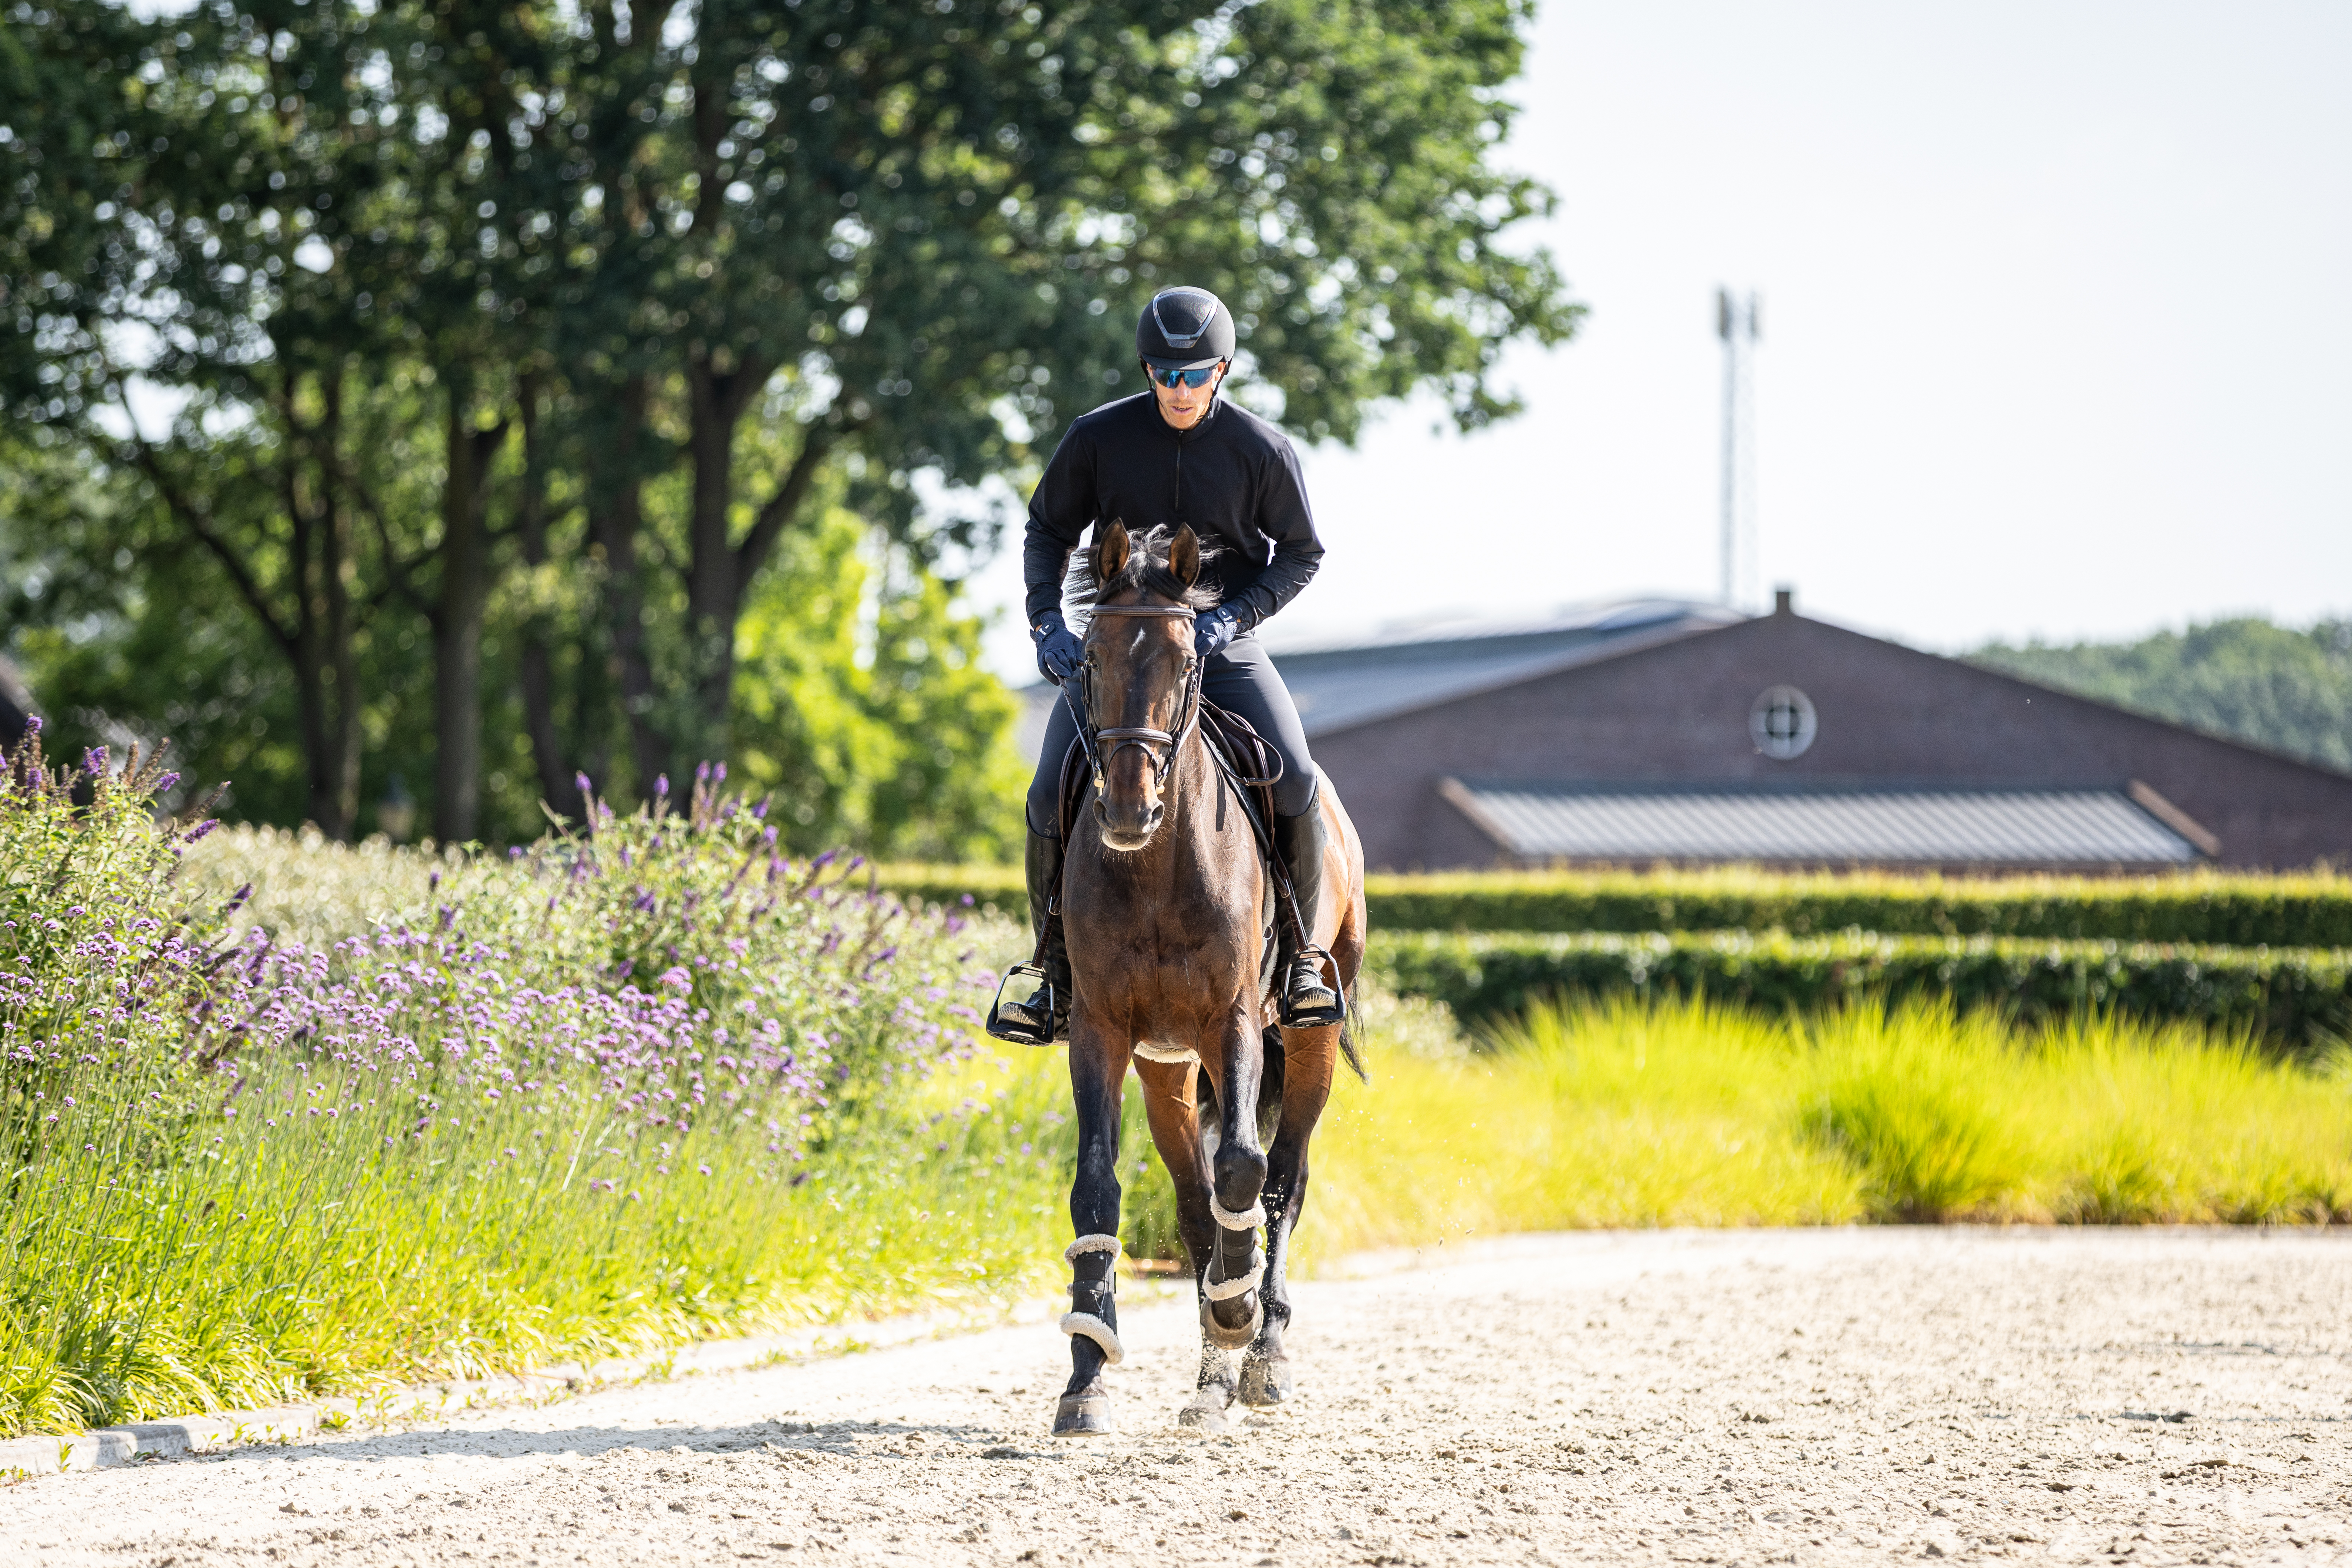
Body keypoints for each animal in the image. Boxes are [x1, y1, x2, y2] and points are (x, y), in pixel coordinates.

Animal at [1046, 519, 1368, 1437]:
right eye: (1087, 657)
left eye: (1188, 659)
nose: (1128, 809)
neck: (1156, 866)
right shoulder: (1101, 1030)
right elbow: (1100, 1185)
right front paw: (1087, 1374)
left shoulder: (1231, 1020)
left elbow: (1247, 1169)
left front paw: (1238, 1313)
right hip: (1166, 1069)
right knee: (1193, 1203)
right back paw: (1212, 1374)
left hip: (1308, 1038)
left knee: (1282, 1182)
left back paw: (1261, 1350)